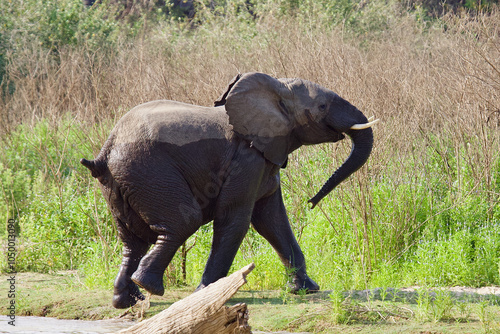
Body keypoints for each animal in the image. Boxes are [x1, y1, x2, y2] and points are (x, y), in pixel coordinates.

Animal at [81, 72, 378, 308]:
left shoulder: (265, 157)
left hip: (120, 183)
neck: (277, 87)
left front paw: (305, 289)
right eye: (322, 105)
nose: (311, 202)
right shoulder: (246, 158)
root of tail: (106, 150)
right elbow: (236, 219)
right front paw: (206, 293)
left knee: (133, 239)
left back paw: (128, 300)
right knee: (183, 221)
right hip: (149, 170)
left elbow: (272, 221)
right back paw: (149, 286)